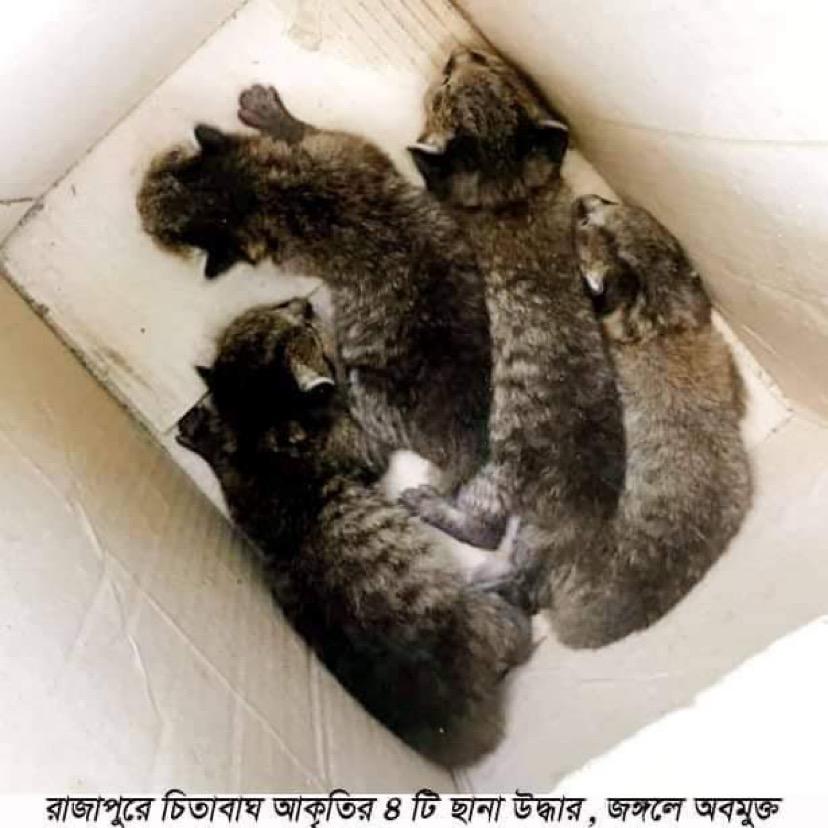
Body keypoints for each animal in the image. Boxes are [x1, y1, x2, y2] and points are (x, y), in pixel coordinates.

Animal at [137, 86, 492, 490]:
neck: (266, 193)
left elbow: (303, 129)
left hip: (364, 392)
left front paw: (271, 114)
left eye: (175, 233)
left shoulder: (342, 149)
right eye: (176, 171)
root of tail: (466, 447)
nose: (143, 207)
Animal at [176, 298, 532, 764]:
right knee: (518, 629)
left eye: (279, 308)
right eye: (303, 322)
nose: (305, 301)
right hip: (485, 614)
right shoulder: (363, 444)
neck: (262, 428)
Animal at [400, 49, 626, 590]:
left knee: (484, 530)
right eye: (486, 62)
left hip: (494, 473)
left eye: (445, 83)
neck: (509, 189)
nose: (458, 53)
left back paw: (428, 504)